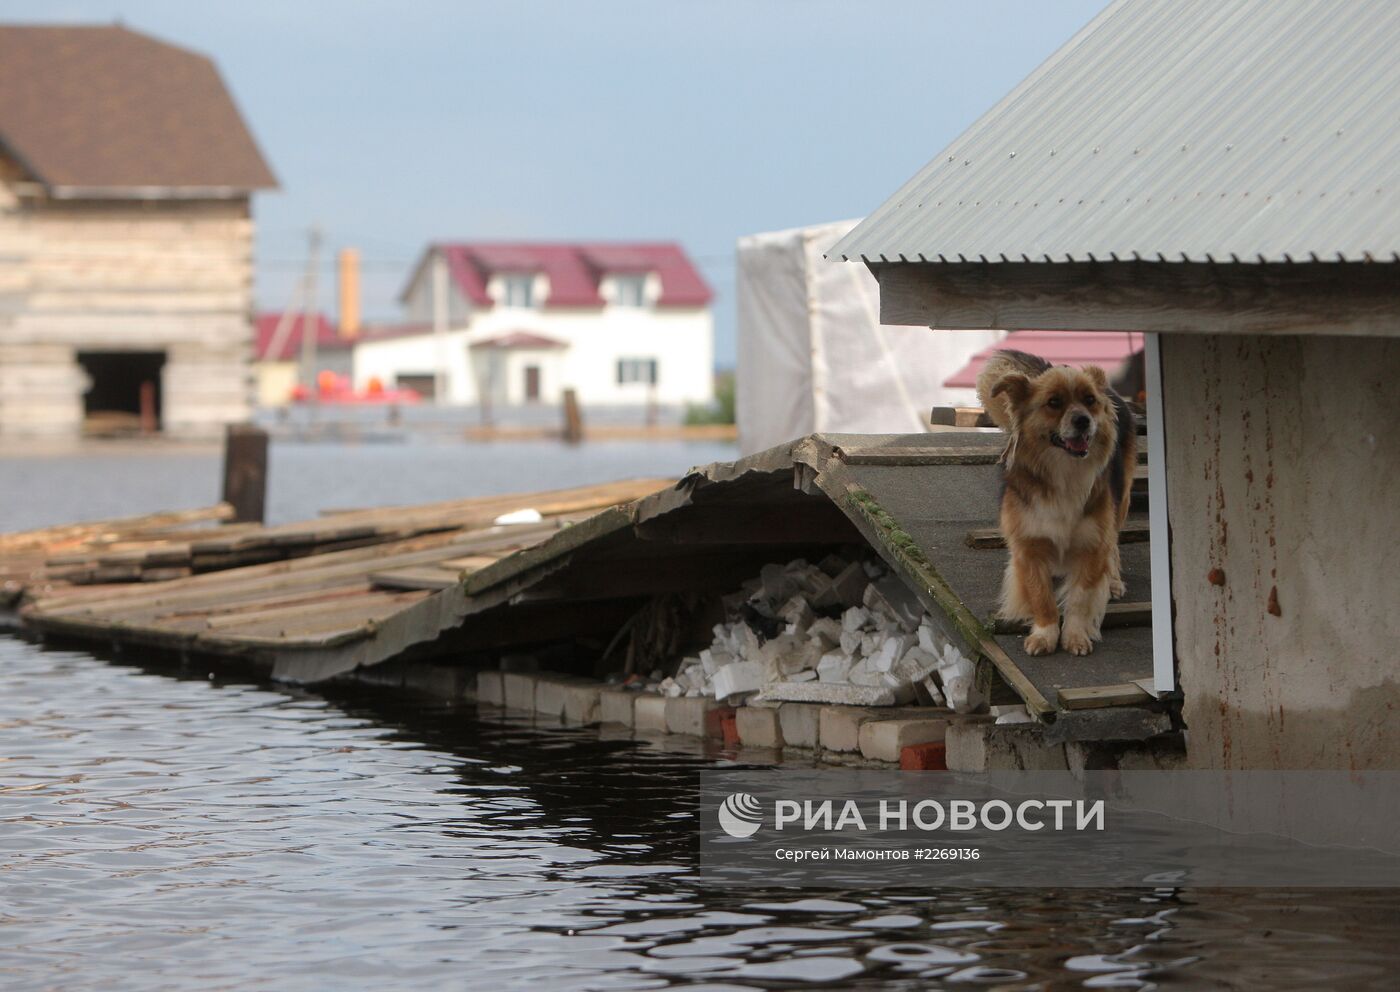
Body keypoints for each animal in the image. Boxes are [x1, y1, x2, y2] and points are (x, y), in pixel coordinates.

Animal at [974, 349, 1136, 657]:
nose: (1083, 420)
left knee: (1114, 543)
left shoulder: (1092, 543)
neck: (1064, 471)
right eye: (1053, 403)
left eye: (1089, 400)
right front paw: (1044, 635)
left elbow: (1080, 599)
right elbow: (1041, 595)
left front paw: (1075, 636)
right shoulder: (1028, 546)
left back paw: (1113, 580)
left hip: (1121, 500)